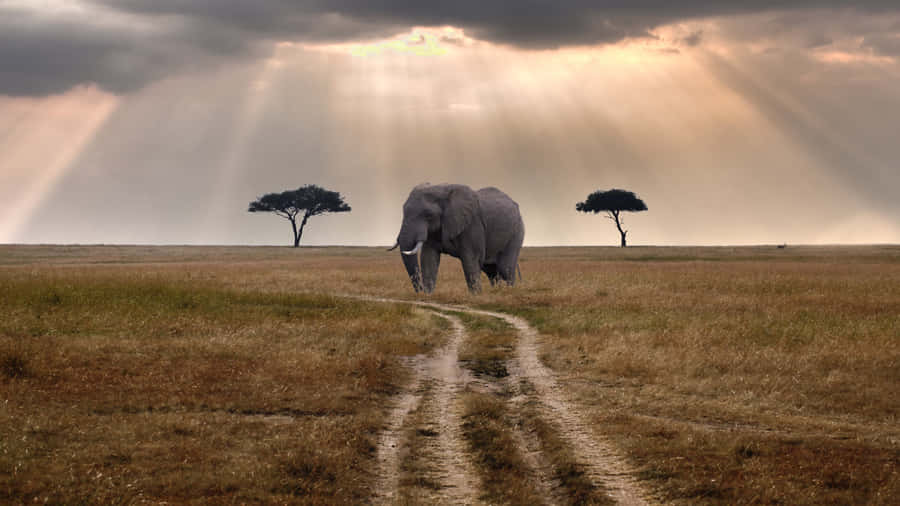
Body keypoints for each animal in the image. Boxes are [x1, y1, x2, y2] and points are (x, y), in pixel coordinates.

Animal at [389, 183, 524, 294]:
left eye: (428, 215)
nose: (420, 291)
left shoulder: (472, 224)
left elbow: (470, 259)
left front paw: (476, 296)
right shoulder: (434, 230)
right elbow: (428, 258)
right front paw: (428, 295)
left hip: (516, 232)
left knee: (505, 268)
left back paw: (509, 292)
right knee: (491, 270)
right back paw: (496, 291)